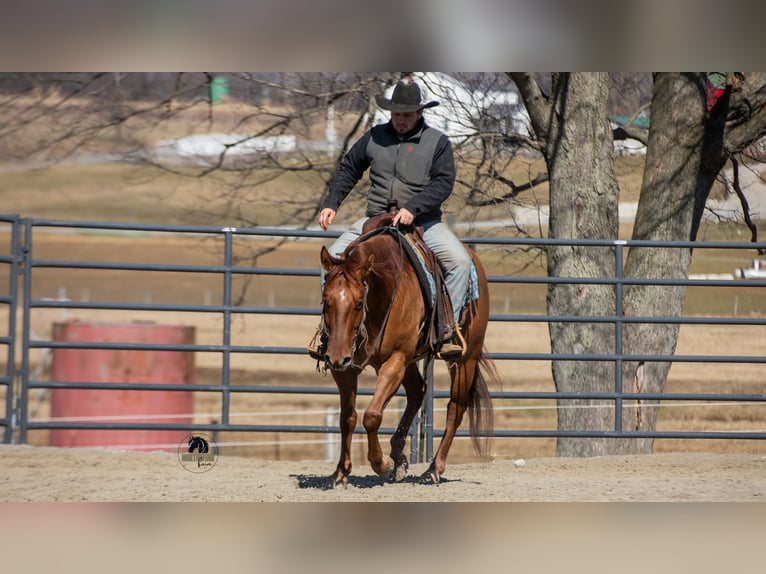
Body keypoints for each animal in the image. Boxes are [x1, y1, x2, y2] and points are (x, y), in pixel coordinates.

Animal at [318, 214, 500, 485]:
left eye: (359, 303)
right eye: (325, 301)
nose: (336, 357)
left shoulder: (396, 360)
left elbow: (372, 415)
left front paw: (380, 464)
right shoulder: (347, 369)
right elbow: (347, 418)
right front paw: (341, 472)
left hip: (466, 357)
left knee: (455, 408)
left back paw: (433, 469)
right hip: (412, 361)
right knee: (417, 391)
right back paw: (399, 456)